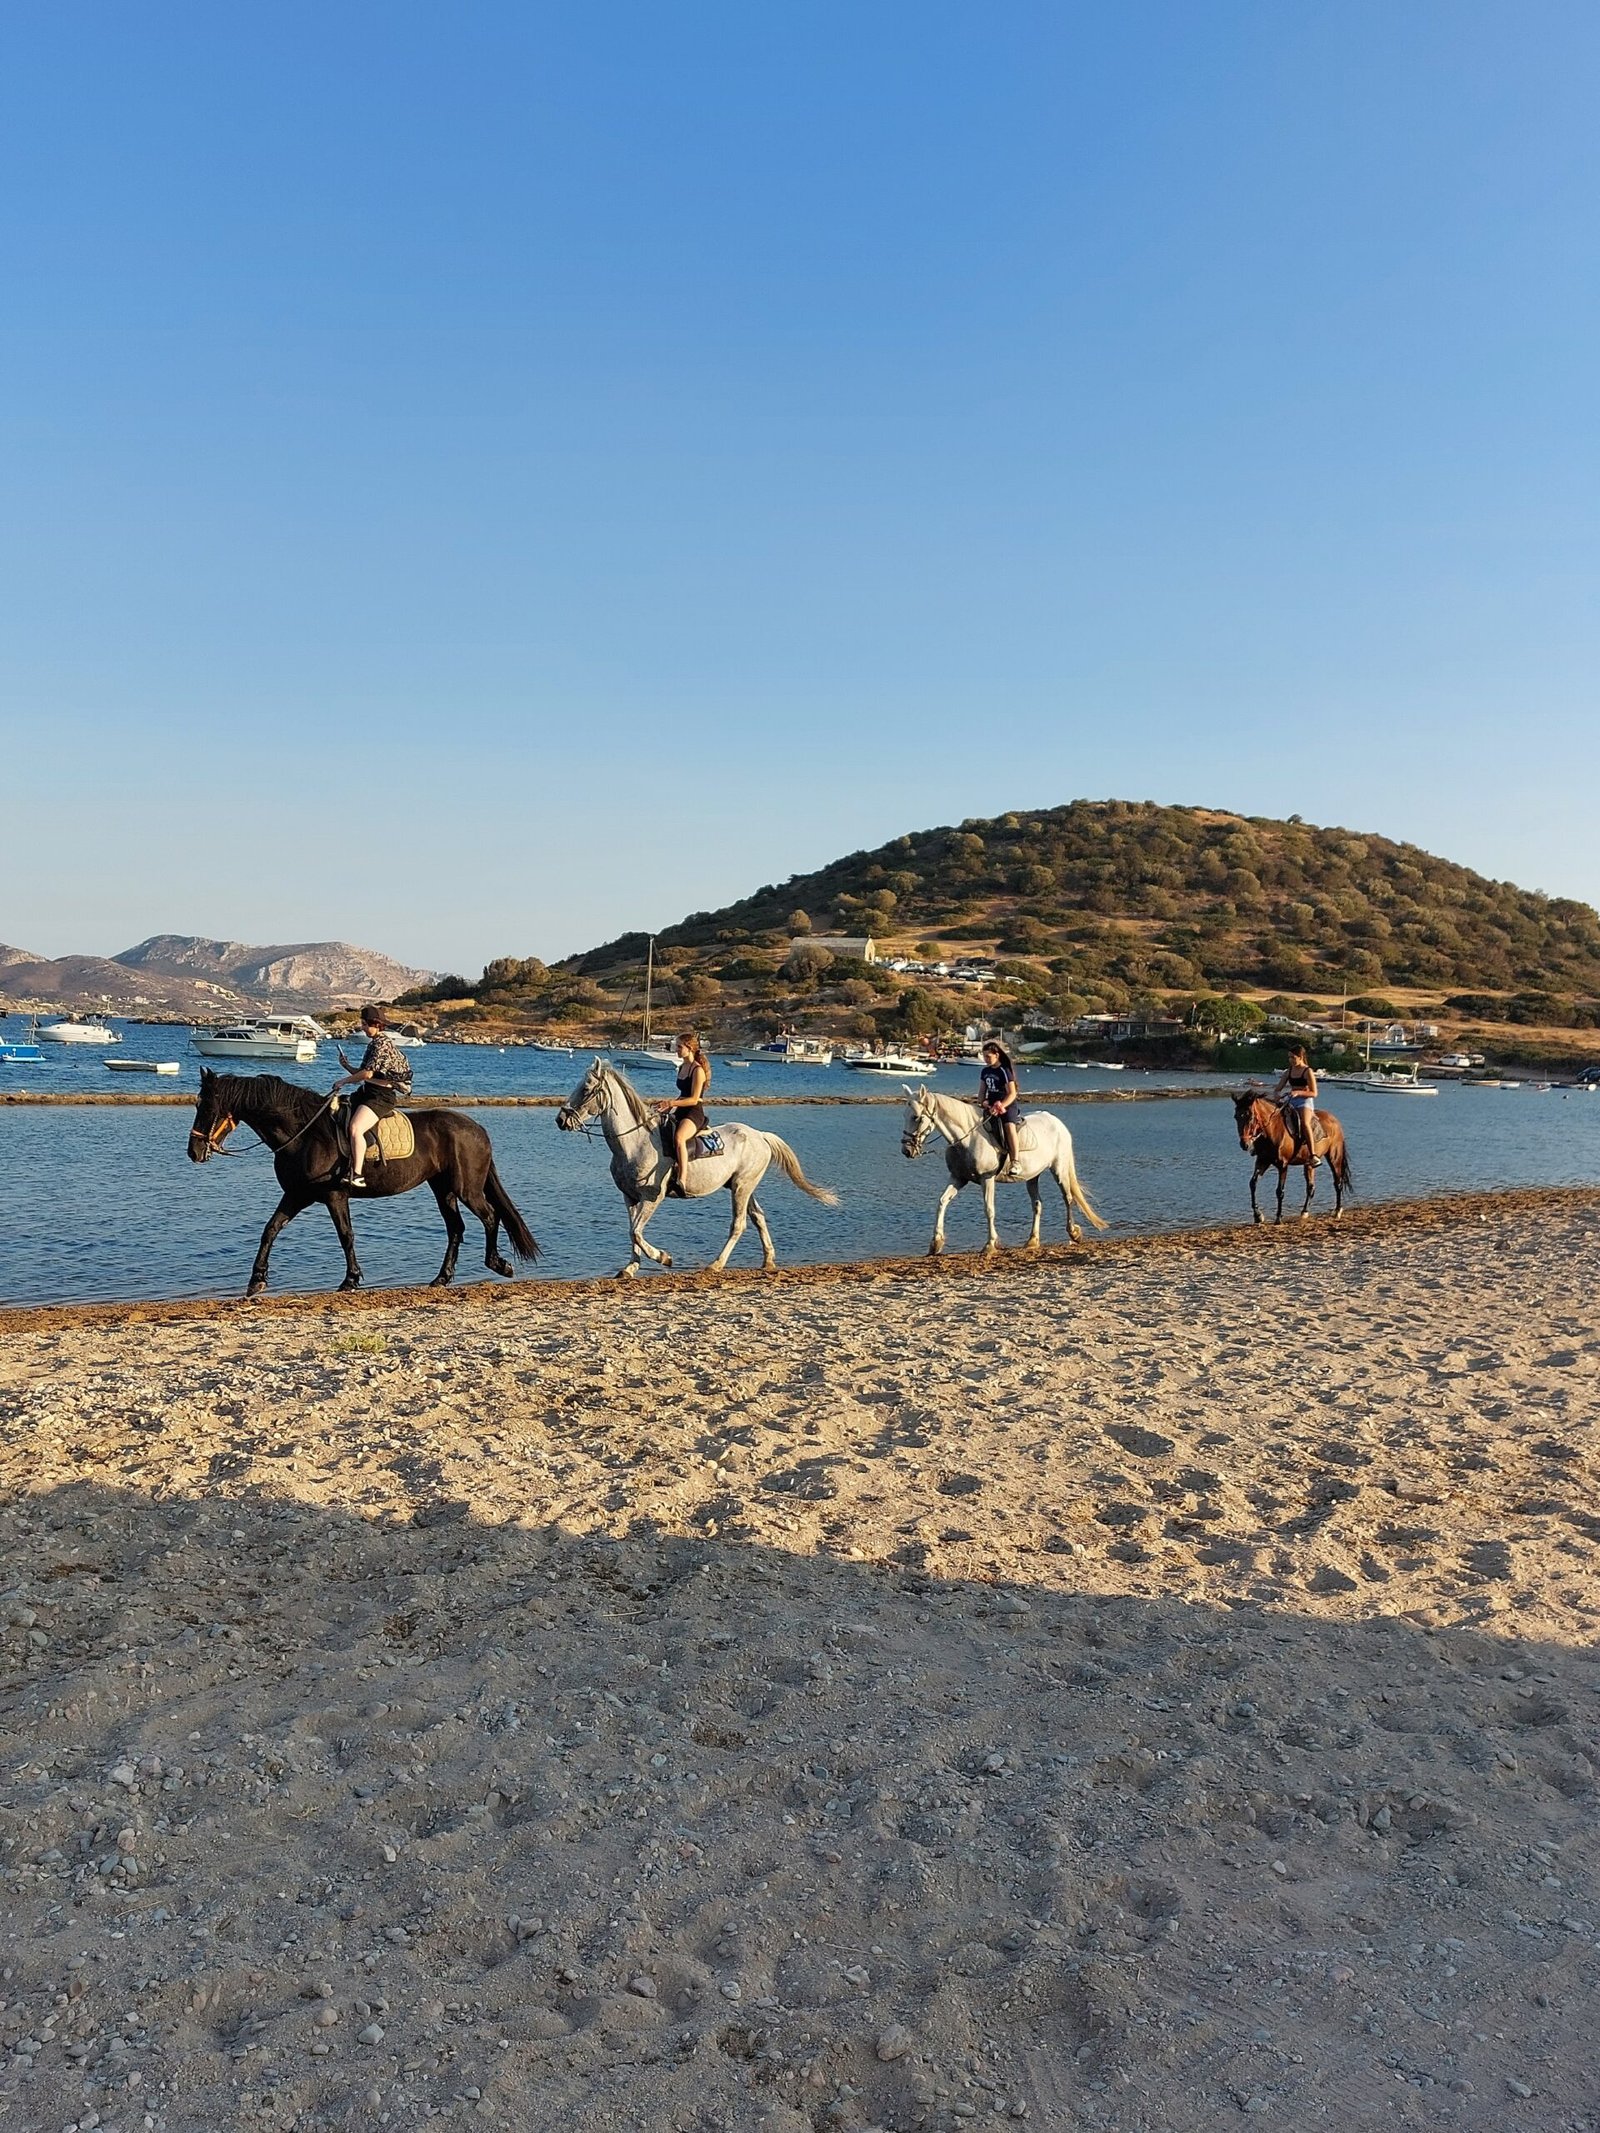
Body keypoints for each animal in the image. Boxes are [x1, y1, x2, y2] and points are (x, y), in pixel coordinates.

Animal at [187, 1069, 539, 1294]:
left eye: (206, 1106)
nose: (193, 1152)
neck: (304, 1133)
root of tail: (477, 1128)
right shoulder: (297, 1195)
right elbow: (270, 1230)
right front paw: (256, 1280)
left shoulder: (334, 1195)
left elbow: (346, 1236)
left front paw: (350, 1280)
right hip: (443, 1189)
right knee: (456, 1228)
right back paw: (442, 1278)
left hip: (467, 1189)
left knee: (489, 1217)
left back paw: (498, 1264)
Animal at [556, 1058, 837, 1277]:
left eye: (586, 1088)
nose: (561, 1119)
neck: (635, 1142)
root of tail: (760, 1135)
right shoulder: (630, 1197)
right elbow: (632, 1232)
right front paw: (630, 1268)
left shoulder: (652, 1197)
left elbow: (636, 1231)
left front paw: (663, 1257)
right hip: (744, 1186)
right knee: (758, 1217)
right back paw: (768, 1260)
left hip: (741, 1187)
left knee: (739, 1224)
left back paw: (716, 1264)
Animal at [899, 1084, 1107, 1255]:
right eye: (904, 1115)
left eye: (916, 1117)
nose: (906, 1150)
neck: (968, 1138)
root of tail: (1057, 1122)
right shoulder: (958, 1178)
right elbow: (942, 1202)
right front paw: (936, 1243)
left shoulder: (987, 1178)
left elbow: (989, 1209)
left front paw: (990, 1244)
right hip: (1033, 1176)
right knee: (1037, 1204)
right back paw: (1032, 1241)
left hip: (1059, 1170)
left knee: (1068, 1198)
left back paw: (1074, 1233)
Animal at [1232, 1089, 1354, 1223]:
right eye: (1236, 1117)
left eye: (1251, 1117)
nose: (1244, 1144)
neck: (1272, 1130)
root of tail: (1335, 1120)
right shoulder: (1262, 1161)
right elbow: (1252, 1183)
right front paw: (1258, 1215)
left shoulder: (1283, 1165)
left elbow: (1280, 1191)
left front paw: (1278, 1218)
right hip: (1308, 1164)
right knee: (1311, 1187)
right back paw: (1304, 1212)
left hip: (1334, 1158)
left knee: (1338, 1183)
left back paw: (1337, 1211)